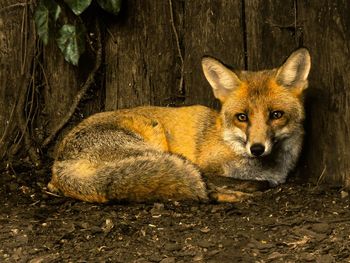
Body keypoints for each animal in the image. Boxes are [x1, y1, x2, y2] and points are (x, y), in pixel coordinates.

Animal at [47, 48, 310, 204]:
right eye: (242, 117)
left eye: (276, 115)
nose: (256, 148)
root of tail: (58, 164)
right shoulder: (205, 164)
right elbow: (215, 178)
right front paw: (245, 188)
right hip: (155, 140)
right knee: (202, 186)